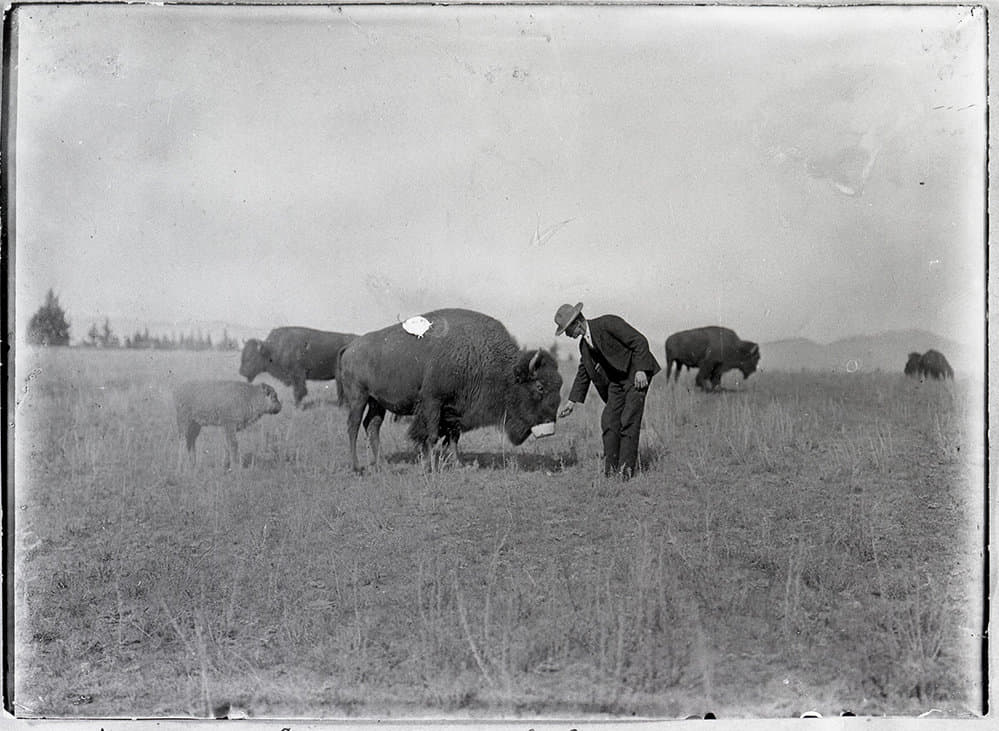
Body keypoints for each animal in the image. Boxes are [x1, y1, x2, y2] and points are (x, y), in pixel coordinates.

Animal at [336, 308, 563, 472]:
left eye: (560, 384)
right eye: (540, 386)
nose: (549, 426)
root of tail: (350, 347)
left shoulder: (455, 410)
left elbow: (453, 438)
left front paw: (458, 464)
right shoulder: (432, 403)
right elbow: (431, 435)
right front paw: (429, 467)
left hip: (377, 402)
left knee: (372, 426)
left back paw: (380, 464)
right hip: (358, 397)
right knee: (353, 426)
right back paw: (357, 468)